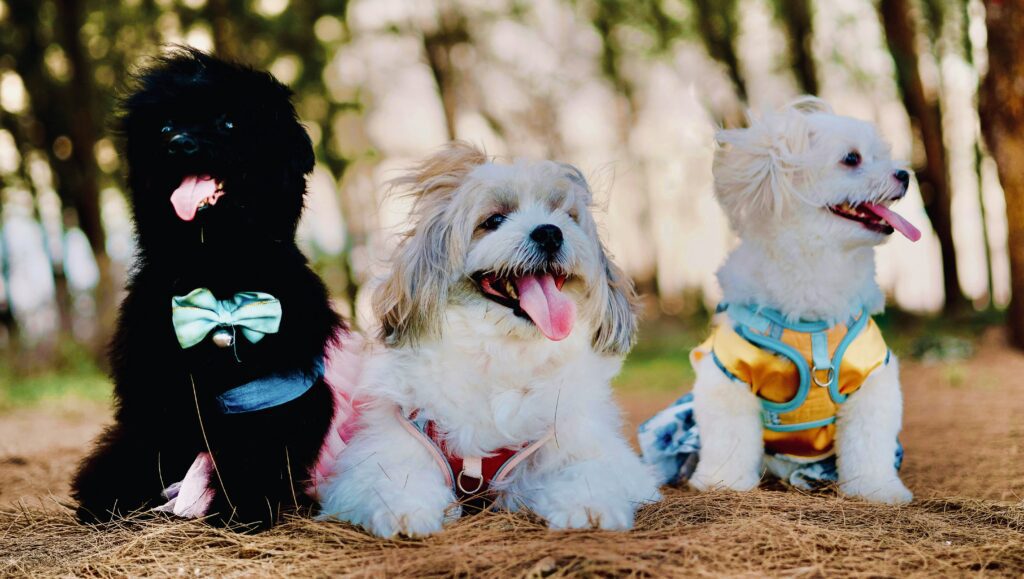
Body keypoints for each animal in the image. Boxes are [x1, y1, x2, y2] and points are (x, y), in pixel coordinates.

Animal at [73, 48, 344, 528]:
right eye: (164, 127)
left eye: (229, 122)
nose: (179, 143)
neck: (216, 275)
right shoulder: (153, 400)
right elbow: (140, 454)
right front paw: (112, 500)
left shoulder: (270, 400)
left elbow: (255, 458)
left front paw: (245, 510)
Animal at [315, 141, 659, 536]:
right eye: (493, 221)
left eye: (566, 216)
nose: (550, 232)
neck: (500, 352)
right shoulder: (384, 447)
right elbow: (390, 477)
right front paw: (405, 511)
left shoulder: (587, 445)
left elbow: (591, 471)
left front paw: (587, 507)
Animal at [638, 96, 921, 504]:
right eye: (851, 158)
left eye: (881, 155)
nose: (905, 174)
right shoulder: (728, 374)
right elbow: (730, 439)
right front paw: (724, 484)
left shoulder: (872, 377)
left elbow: (869, 445)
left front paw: (877, 490)